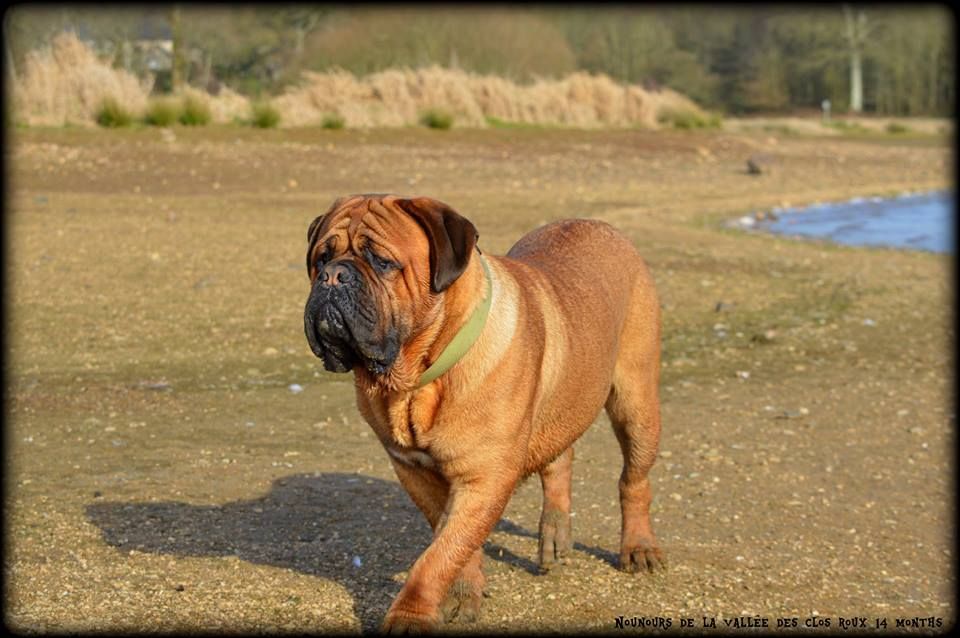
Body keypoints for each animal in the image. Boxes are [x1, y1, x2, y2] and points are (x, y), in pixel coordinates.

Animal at [303, 194, 663, 632]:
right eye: (321, 259)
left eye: (383, 262)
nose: (333, 276)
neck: (420, 380)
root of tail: (603, 227)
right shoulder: (415, 472)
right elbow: (452, 542)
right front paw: (463, 594)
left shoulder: (484, 478)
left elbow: (439, 555)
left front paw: (411, 615)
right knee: (560, 460)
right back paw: (555, 535)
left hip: (637, 406)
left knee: (634, 481)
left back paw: (639, 547)